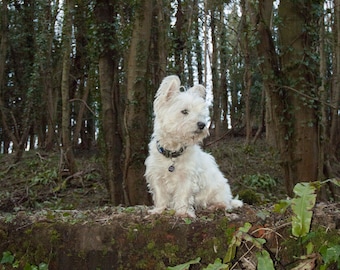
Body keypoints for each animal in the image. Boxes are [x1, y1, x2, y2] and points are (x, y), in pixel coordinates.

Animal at [143, 75, 242, 217]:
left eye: (200, 113)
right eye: (184, 111)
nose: (202, 125)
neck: (173, 152)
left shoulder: (187, 177)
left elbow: (183, 195)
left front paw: (183, 212)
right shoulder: (157, 176)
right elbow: (160, 195)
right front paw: (158, 210)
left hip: (218, 189)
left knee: (225, 204)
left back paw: (215, 207)